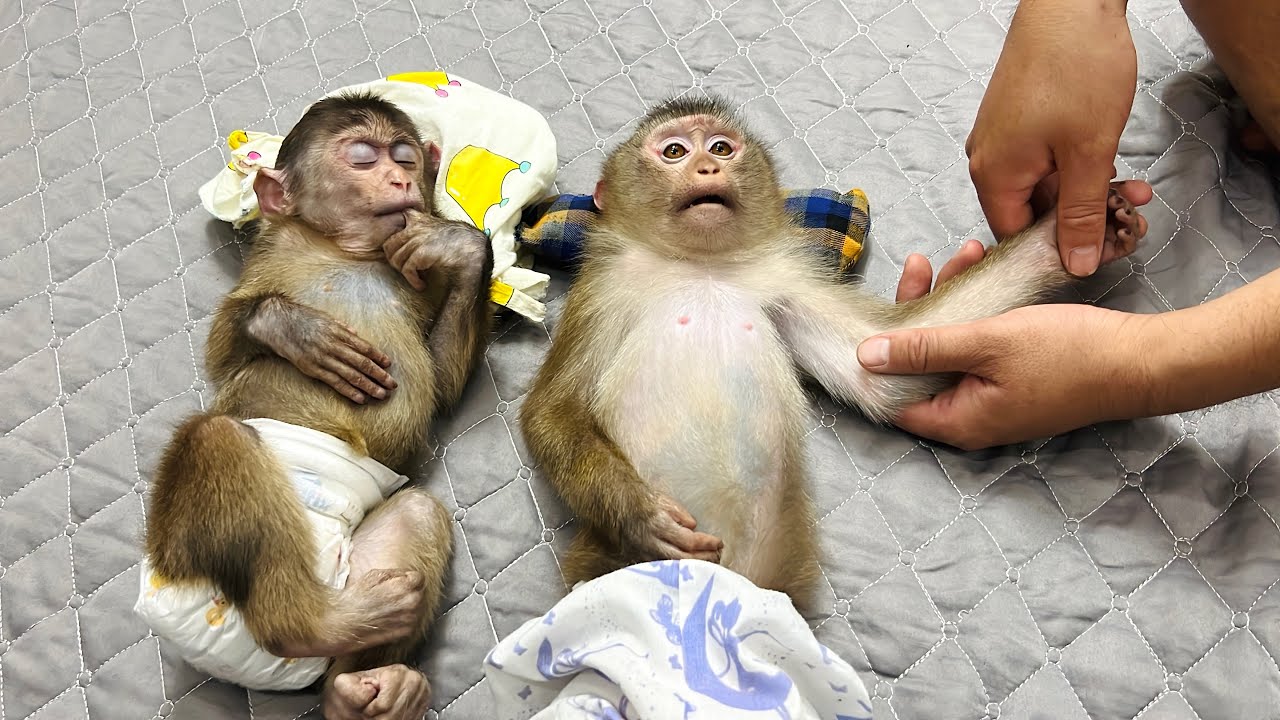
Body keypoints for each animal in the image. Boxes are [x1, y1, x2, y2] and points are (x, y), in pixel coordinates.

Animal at [135, 93, 493, 718]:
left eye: (404, 155)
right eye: (362, 158)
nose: (400, 179)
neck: (351, 251)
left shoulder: (415, 268)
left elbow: (441, 384)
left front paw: (462, 247)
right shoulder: (269, 252)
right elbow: (222, 351)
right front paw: (294, 331)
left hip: (343, 584)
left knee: (417, 513)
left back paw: (357, 687)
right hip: (179, 571)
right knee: (217, 436)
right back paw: (300, 621)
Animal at [519, 95, 1147, 613]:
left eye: (720, 146)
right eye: (674, 150)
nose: (707, 168)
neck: (699, 267)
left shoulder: (784, 278)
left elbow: (874, 367)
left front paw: (1077, 232)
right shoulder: (603, 291)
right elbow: (551, 412)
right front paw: (640, 513)